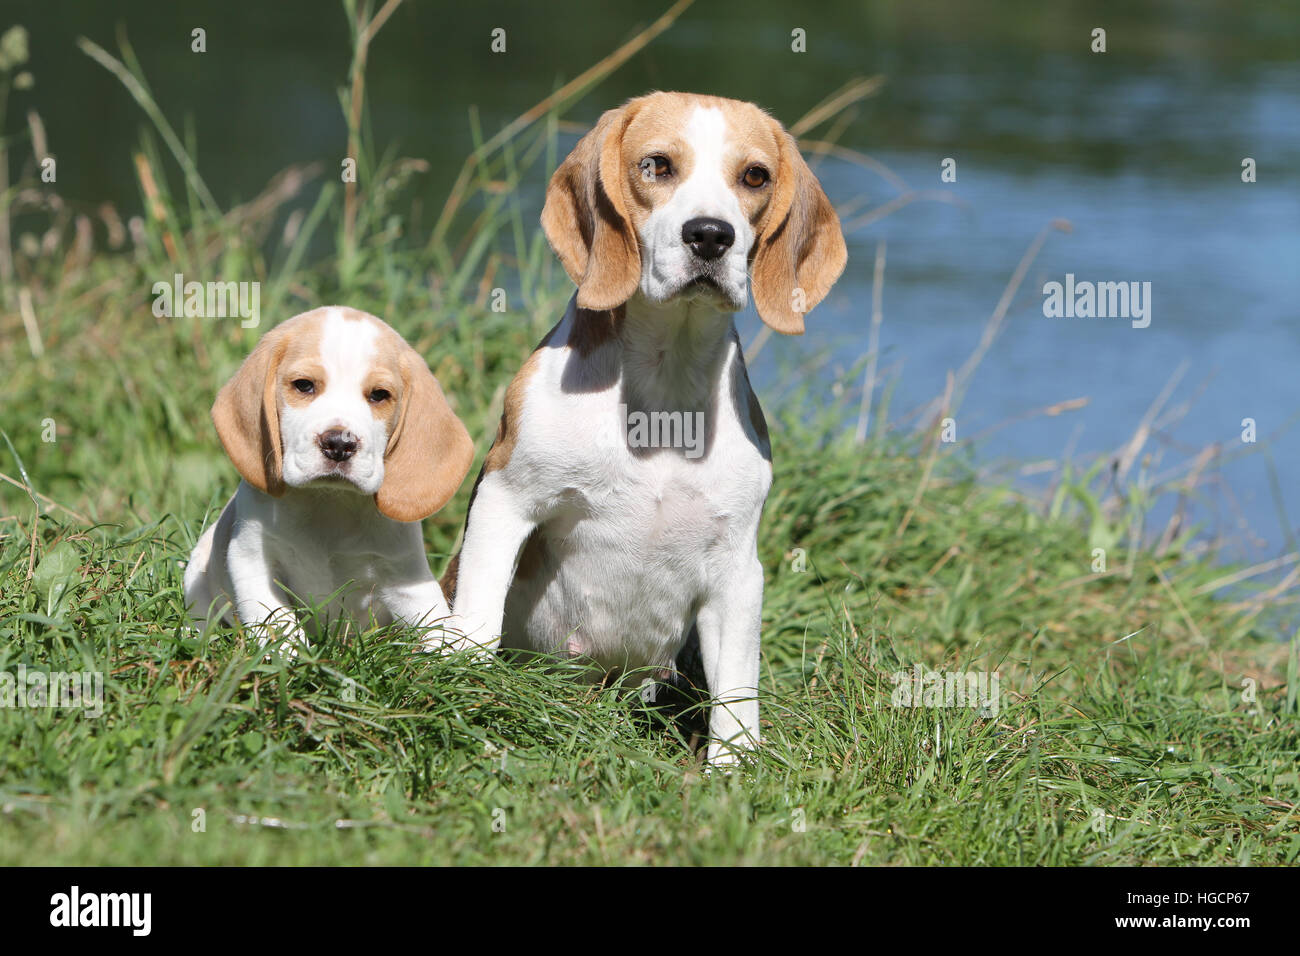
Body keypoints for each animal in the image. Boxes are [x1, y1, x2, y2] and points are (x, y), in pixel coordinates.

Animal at [185, 306, 475, 650]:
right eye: (304, 385)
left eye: (379, 395)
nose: (339, 444)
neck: (329, 502)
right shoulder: (252, 563)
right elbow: (280, 628)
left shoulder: (407, 580)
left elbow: (438, 633)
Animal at [441, 93, 847, 764]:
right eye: (656, 165)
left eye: (754, 176)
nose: (710, 234)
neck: (665, 384)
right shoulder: (505, 501)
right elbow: (475, 623)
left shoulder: (738, 569)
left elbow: (738, 698)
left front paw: (732, 772)